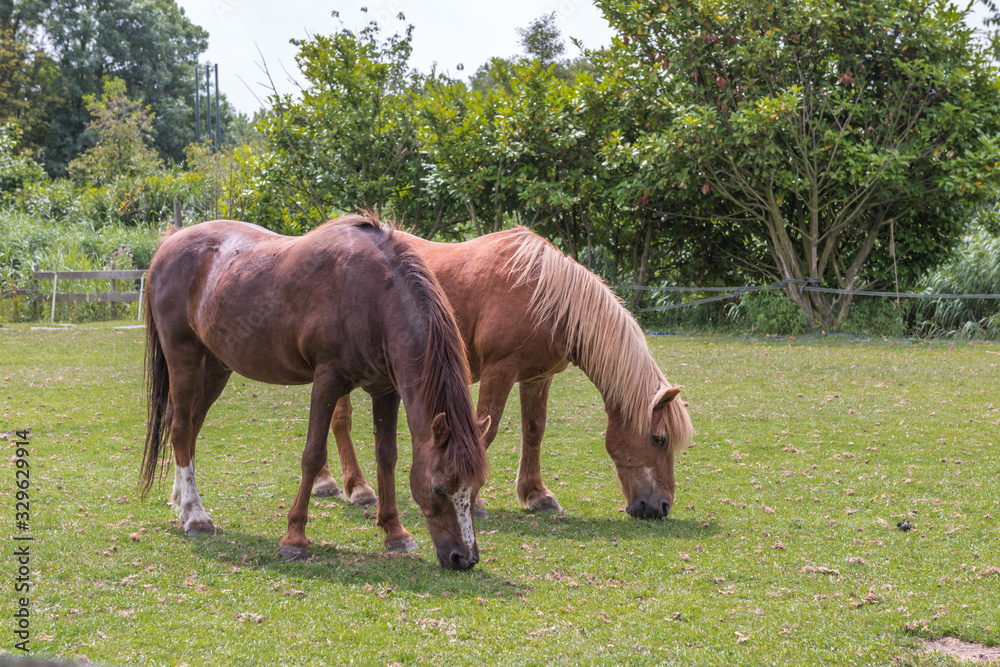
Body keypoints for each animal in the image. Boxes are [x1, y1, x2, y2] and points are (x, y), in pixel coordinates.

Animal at [140, 217, 488, 572]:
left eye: (476, 487)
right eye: (438, 488)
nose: (465, 558)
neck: (373, 295)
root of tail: (169, 243)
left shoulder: (385, 390)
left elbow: (387, 456)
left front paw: (395, 532)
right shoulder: (327, 380)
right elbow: (313, 454)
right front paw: (294, 539)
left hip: (215, 366)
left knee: (190, 426)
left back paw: (181, 501)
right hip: (183, 356)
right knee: (180, 427)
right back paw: (196, 516)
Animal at [314, 227, 696, 520]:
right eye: (659, 439)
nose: (661, 507)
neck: (545, 295)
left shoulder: (536, 377)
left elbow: (534, 430)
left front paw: (536, 494)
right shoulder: (500, 370)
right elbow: (487, 428)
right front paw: (474, 501)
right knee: (338, 420)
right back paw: (352, 487)